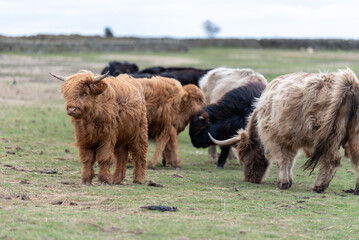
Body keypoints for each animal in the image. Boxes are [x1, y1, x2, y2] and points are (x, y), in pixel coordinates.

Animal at [210, 68, 359, 194]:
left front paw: (283, 183)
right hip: (353, 135)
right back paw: (356, 189)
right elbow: (290, 160)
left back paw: (319, 186)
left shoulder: (274, 137)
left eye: (244, 155)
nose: (250, 178)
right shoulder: (291, 139)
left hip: (331, 136)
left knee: (331, 159)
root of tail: (349, 82)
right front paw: (289, 180)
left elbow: (282, 159)